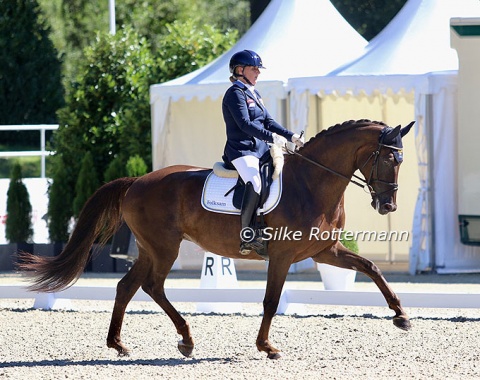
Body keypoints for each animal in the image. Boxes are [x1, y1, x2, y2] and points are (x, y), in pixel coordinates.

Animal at [18, 119, 414, 360]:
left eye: (401, 161)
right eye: (387, 159)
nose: (387, 205)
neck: (310, 182)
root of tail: (136, 181)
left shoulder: (324, 251)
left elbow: (372, 267)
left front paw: (401, 316)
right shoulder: (283, 255)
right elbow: (271, 301)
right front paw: (266, 346)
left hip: (150, 248)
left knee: (127, 286)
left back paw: (119, 344)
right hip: (164, 247)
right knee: (152, 286)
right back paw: (185, 339)